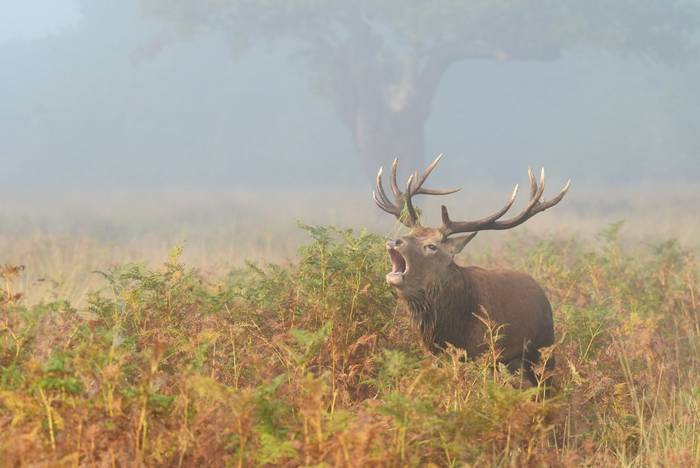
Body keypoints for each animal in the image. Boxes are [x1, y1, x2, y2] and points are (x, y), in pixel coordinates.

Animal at [373, 154, 570, 384]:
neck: (452, 330)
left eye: (431, 246)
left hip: (542, 349)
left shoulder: (482, 353)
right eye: (411, 233)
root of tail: (543, 295)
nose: (395, 241)